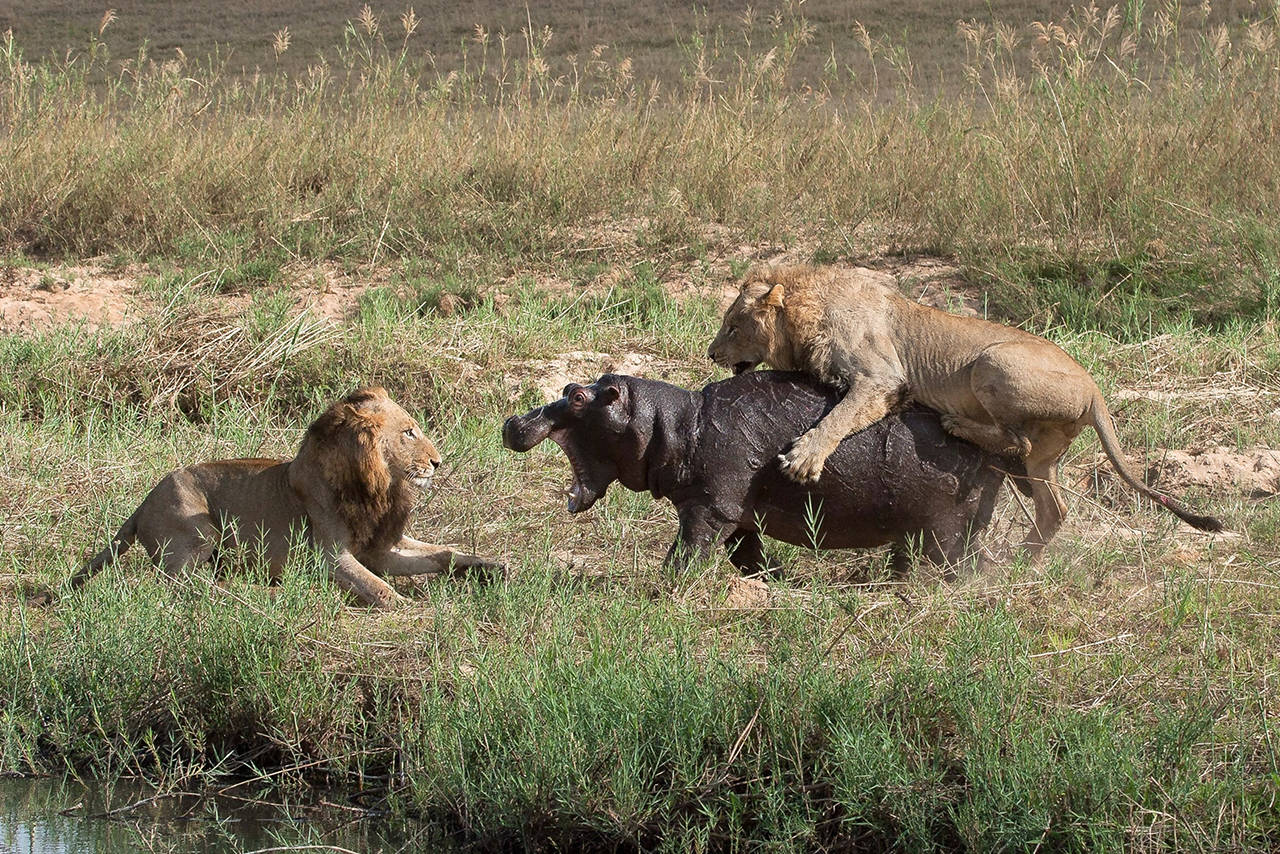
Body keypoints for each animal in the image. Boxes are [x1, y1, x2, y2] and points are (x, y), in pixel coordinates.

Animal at [61, 384, 499, 612]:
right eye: (409, 432)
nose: (438, 462)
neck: (380, 487)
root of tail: (142, 504)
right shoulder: (330, 555)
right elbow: (380, 588)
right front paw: (414, 607)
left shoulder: (381, 547)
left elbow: (440, 553)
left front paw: (486, 566)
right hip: (197, 524)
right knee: (181, 584)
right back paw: (260, 591)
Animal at [501, 371, 1029, 573]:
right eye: (569, 386)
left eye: (577, 397)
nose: (512, 422)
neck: (675, 424)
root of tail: (1001, 447)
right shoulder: (735, 515)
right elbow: (748, 557)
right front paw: (770, 581)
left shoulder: (709, 508)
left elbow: (686, 553)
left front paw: (660, 589)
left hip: (944, 528)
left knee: (953, 565)